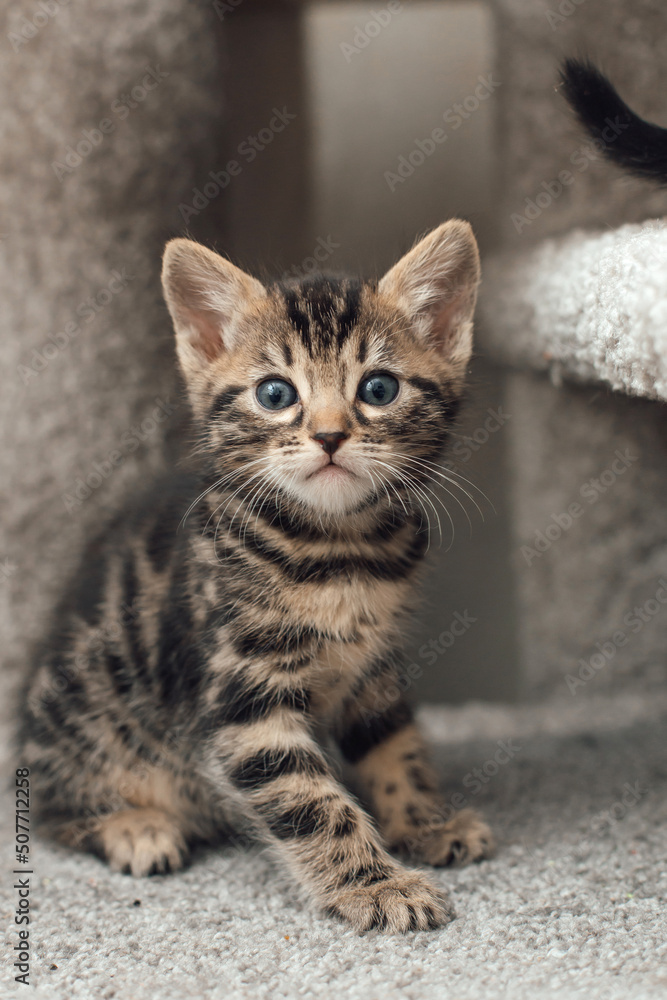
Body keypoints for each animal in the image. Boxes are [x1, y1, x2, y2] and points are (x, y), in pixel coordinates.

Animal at [19, 223, 496, 932]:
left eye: (378, 389)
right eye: (276, 394)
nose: (329, 435)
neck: (339, 550)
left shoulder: (374, 669)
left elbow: (395, 746)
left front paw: (424, 821)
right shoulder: (243, 694)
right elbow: (310, 800)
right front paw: (377, 885)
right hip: (87, 718)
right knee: (48, 806)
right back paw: (134, 826)